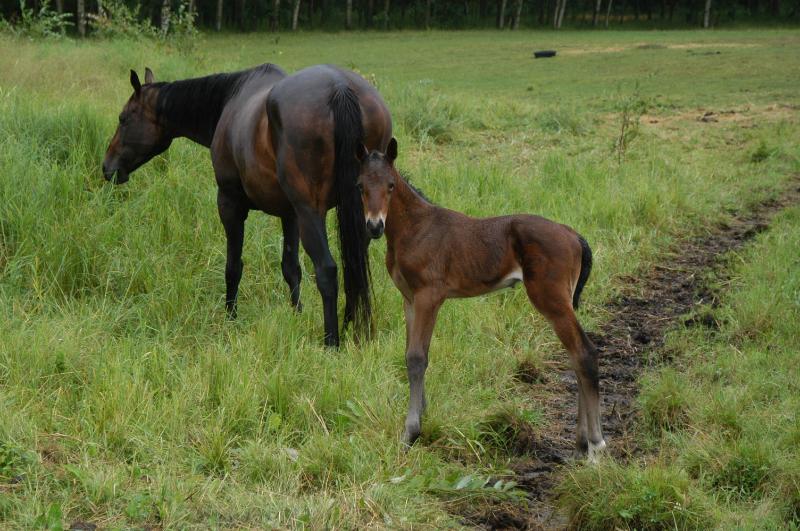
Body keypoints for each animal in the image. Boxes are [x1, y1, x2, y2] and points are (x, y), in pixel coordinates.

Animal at [102, 64, 393, 346]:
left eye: (123, 118)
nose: (107, 167)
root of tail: (340, 87)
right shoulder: (290, 215)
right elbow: (291, 269)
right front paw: (296, 314)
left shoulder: (230, 204)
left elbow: (233, 267)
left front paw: (230, 318)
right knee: (353, 266)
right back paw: (351, 326)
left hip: (311, 214)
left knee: (327, 271)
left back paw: (331, 341)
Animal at [356, 139, 606, 461]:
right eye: (360, 185)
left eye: (390, 185)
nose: (374, 226)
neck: (415, 228)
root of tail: (574, 236)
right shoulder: (409, 299)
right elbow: (413, 355)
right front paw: (421, 418)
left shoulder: (429, 296)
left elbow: (416, 357)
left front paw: (410, 433)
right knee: (575, 355)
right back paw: (580, 443)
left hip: (551, 299)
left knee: (584, 352)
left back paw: (595, 443)